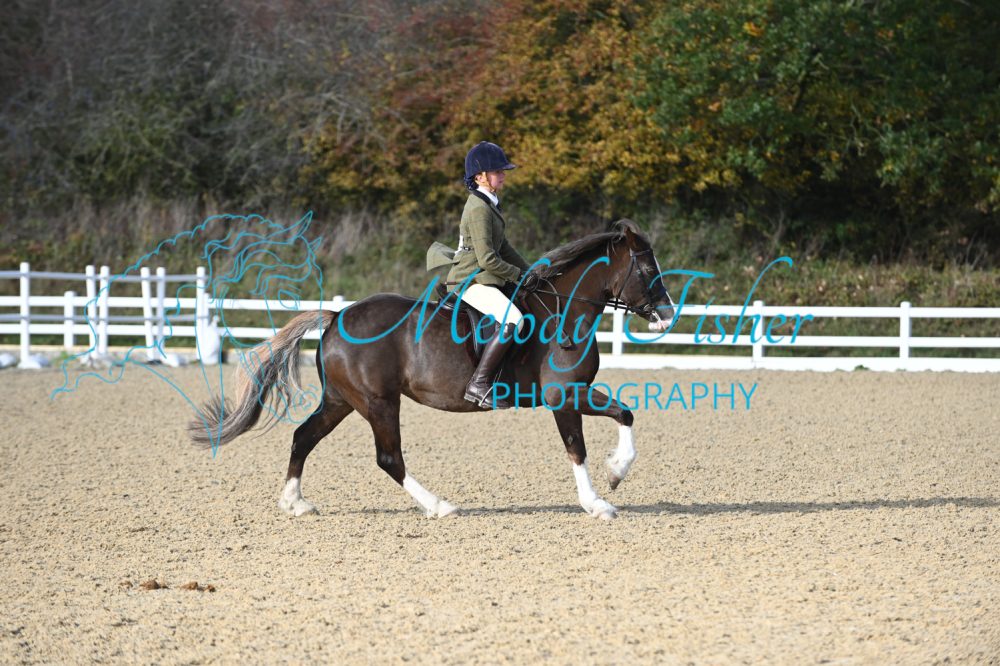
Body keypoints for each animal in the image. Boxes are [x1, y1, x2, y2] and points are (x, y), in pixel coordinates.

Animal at [189, 219, 676, 520]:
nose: (668, 314)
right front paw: (600, 498)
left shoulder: (575, 394)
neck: (564, 310)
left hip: (342, 400)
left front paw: (615, 474)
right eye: (647, 267)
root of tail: (337, 316)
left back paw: (296, 503)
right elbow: (582, 445)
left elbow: (623, 414)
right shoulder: (564, 397)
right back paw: (439, 506)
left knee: (303, 437)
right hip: (378, 402)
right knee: (389, 457)